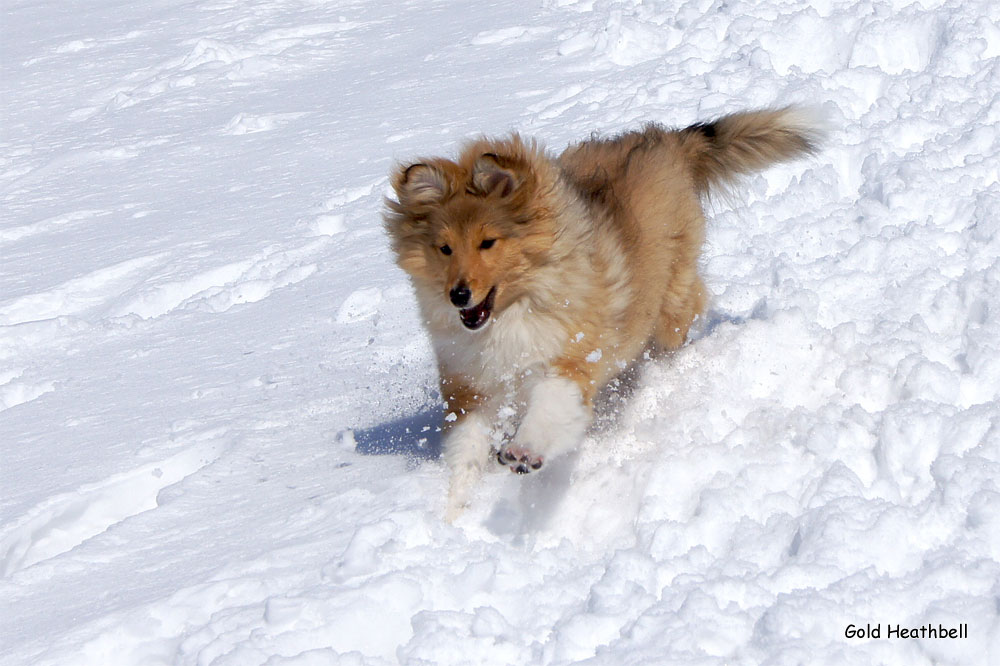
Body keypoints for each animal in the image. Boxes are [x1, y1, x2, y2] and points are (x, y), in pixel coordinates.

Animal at [382, 106, 820, 516]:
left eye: (488, 242)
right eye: (444, 248)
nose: (458, 295)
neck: (513, 312)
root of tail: (671, 141)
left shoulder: (573, 357)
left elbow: (550, 408)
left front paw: (524, 451)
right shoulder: (471, 386)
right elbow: (466, 450)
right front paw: (453, 513)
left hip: (671, 297)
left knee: (679, 323)